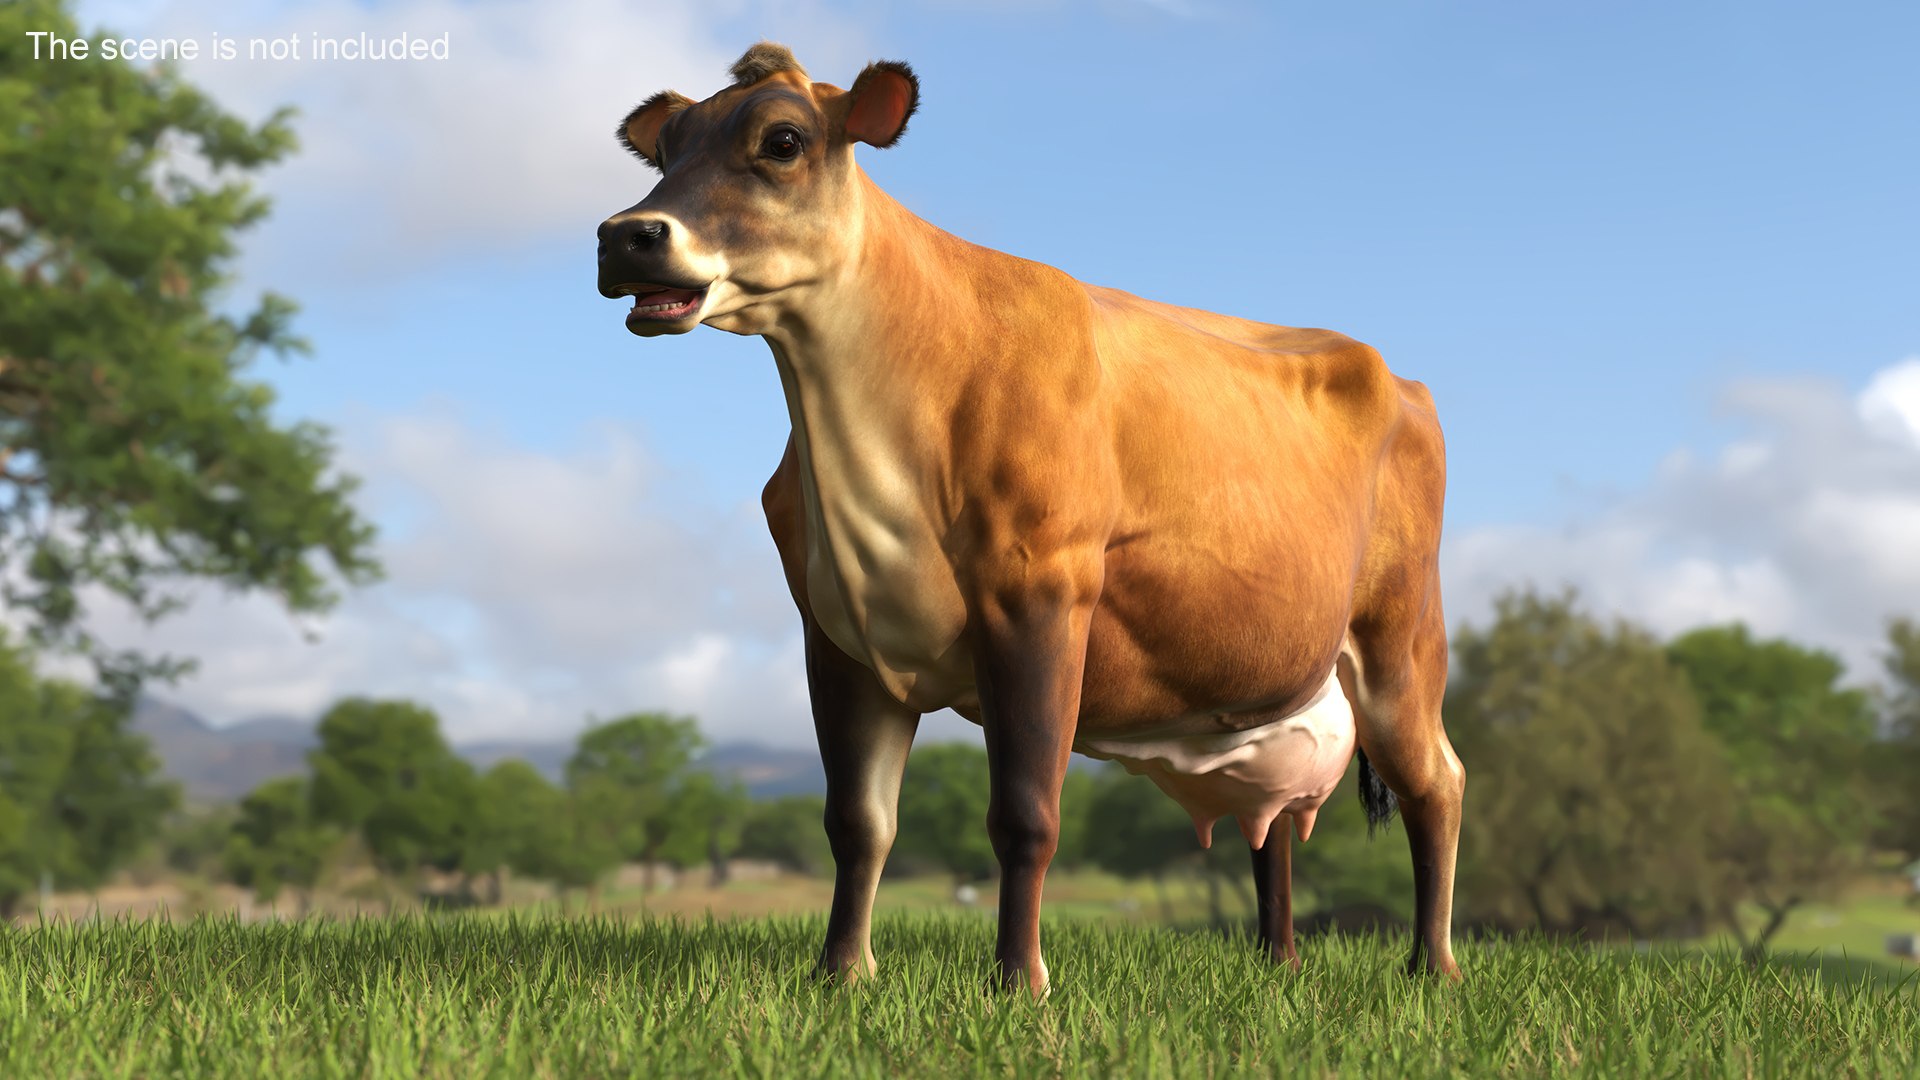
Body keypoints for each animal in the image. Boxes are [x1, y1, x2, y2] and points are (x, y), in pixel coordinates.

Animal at [596, 43, 1464, 995]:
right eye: (667, 147)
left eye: (782, 140)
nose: (625, 235)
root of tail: (1398, 375)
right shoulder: (836, 628)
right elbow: (857, 825)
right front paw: (843, 975)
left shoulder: (1040, 593)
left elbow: (1025, 815)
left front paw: (1019, 982)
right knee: (1269, 821)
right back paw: (1278, 961)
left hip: (1401, 638)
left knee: (1438, 783)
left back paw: (1433, 967)